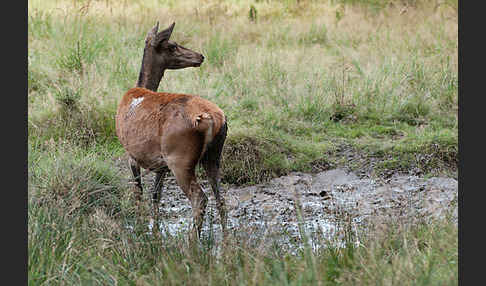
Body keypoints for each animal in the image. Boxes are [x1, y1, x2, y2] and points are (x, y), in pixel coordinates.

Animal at [115, 21, 228, 239]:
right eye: (173, 45)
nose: (200, 56)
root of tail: (213, 119)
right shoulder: (161, 164)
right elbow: (156, 196)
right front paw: (155, 232)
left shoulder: (131, 154)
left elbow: (138, 192)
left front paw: (142, 230)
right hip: (213, 156)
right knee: (221, 200)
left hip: (180, 158)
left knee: (199, 198)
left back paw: (192, 240)